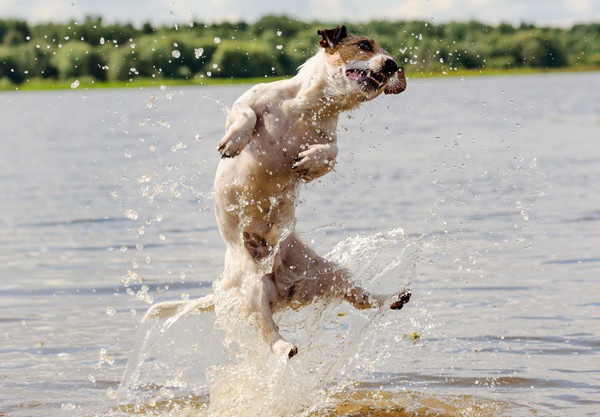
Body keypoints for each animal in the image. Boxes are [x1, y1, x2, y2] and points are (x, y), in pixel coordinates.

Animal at [143, 26, 410, 358]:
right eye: (364, 45)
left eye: (388, 54)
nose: (392, 64)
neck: (307, 108)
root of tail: (283, 287)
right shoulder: (248, 101)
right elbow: (246, 115)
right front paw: (235, 141)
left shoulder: (329, 138)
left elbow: (331, 153)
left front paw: (309, 161)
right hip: (252, 288)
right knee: (267, 332)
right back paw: (285, 346)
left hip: (330, 271)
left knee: (362, 298)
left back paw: (393, 297)